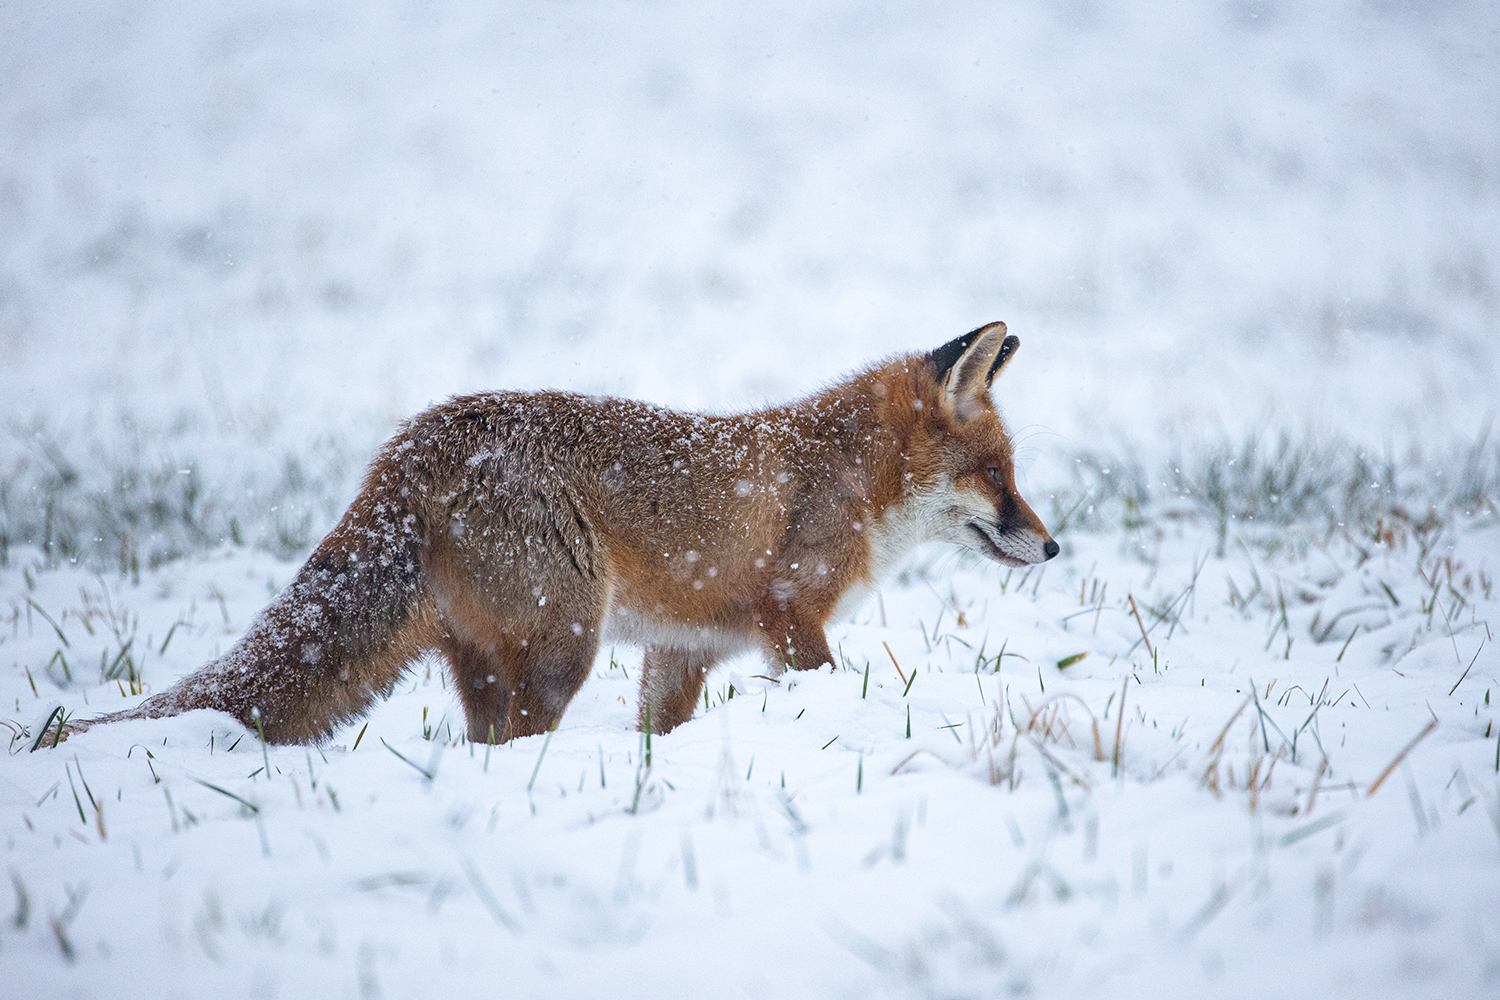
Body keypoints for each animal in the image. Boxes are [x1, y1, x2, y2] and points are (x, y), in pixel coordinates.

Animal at [49, 322, 1056, 749]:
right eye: (999, 477)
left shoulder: (681, 650)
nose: (1052, 549)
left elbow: (660, 729)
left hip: (494, 658)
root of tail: (413, 444)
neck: (850, 479)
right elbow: (819, 677)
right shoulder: (790, 617)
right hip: (564, 646)